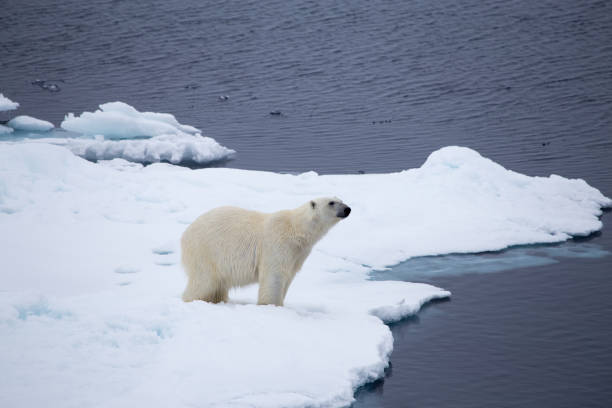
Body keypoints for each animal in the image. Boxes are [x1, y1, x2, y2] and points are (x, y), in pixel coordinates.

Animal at [180, 198, 350, 306]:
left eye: (340, 199)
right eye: (331, 202)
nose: (347, 209)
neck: (296, 229)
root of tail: (185, 233)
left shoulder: (298, 253)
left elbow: (288, 276)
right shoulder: (278, 244)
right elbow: (274, 275)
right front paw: (271, 305)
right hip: (206, 251)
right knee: (204, 281)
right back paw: (192, 299)